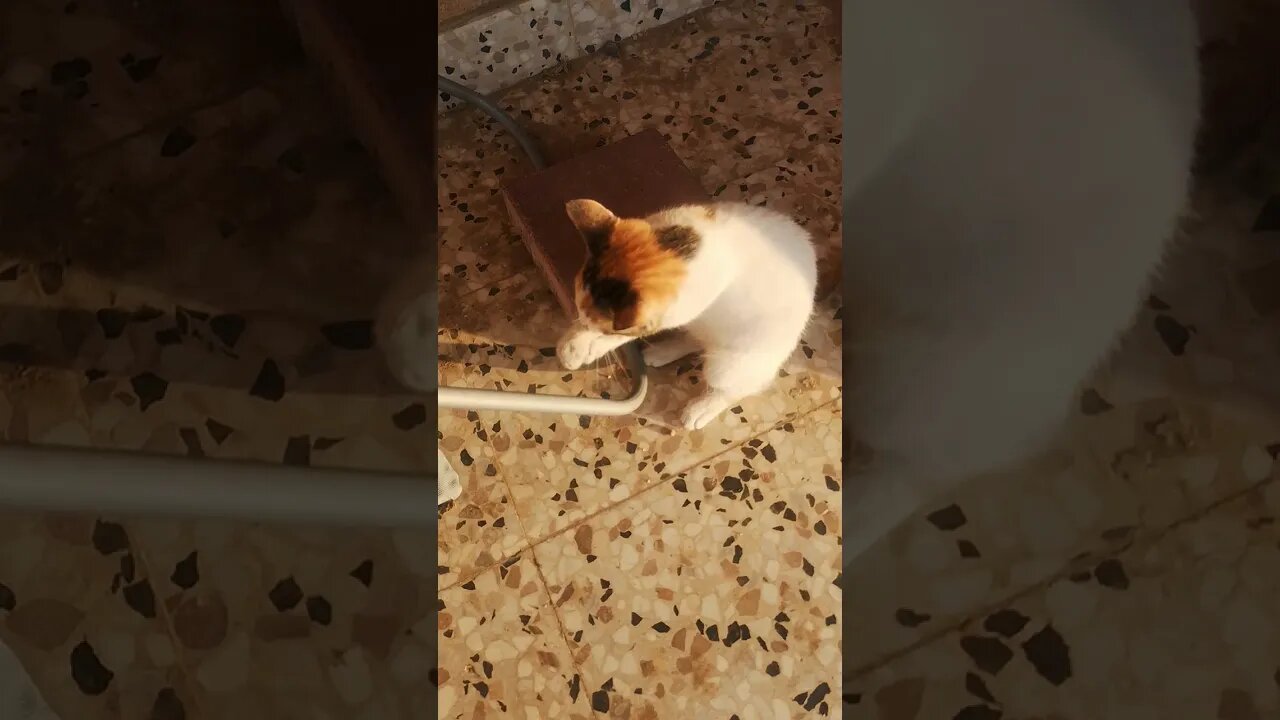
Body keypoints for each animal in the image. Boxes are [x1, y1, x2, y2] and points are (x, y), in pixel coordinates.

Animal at [552, 197, 814, 425]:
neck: (678, 249)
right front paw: (574, 342)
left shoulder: (678, 309)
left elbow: (630, 332)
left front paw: (589, 345)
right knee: (697, 339)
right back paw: (662, 352)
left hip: (733, 364)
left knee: (739, 388)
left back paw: (701, 410)